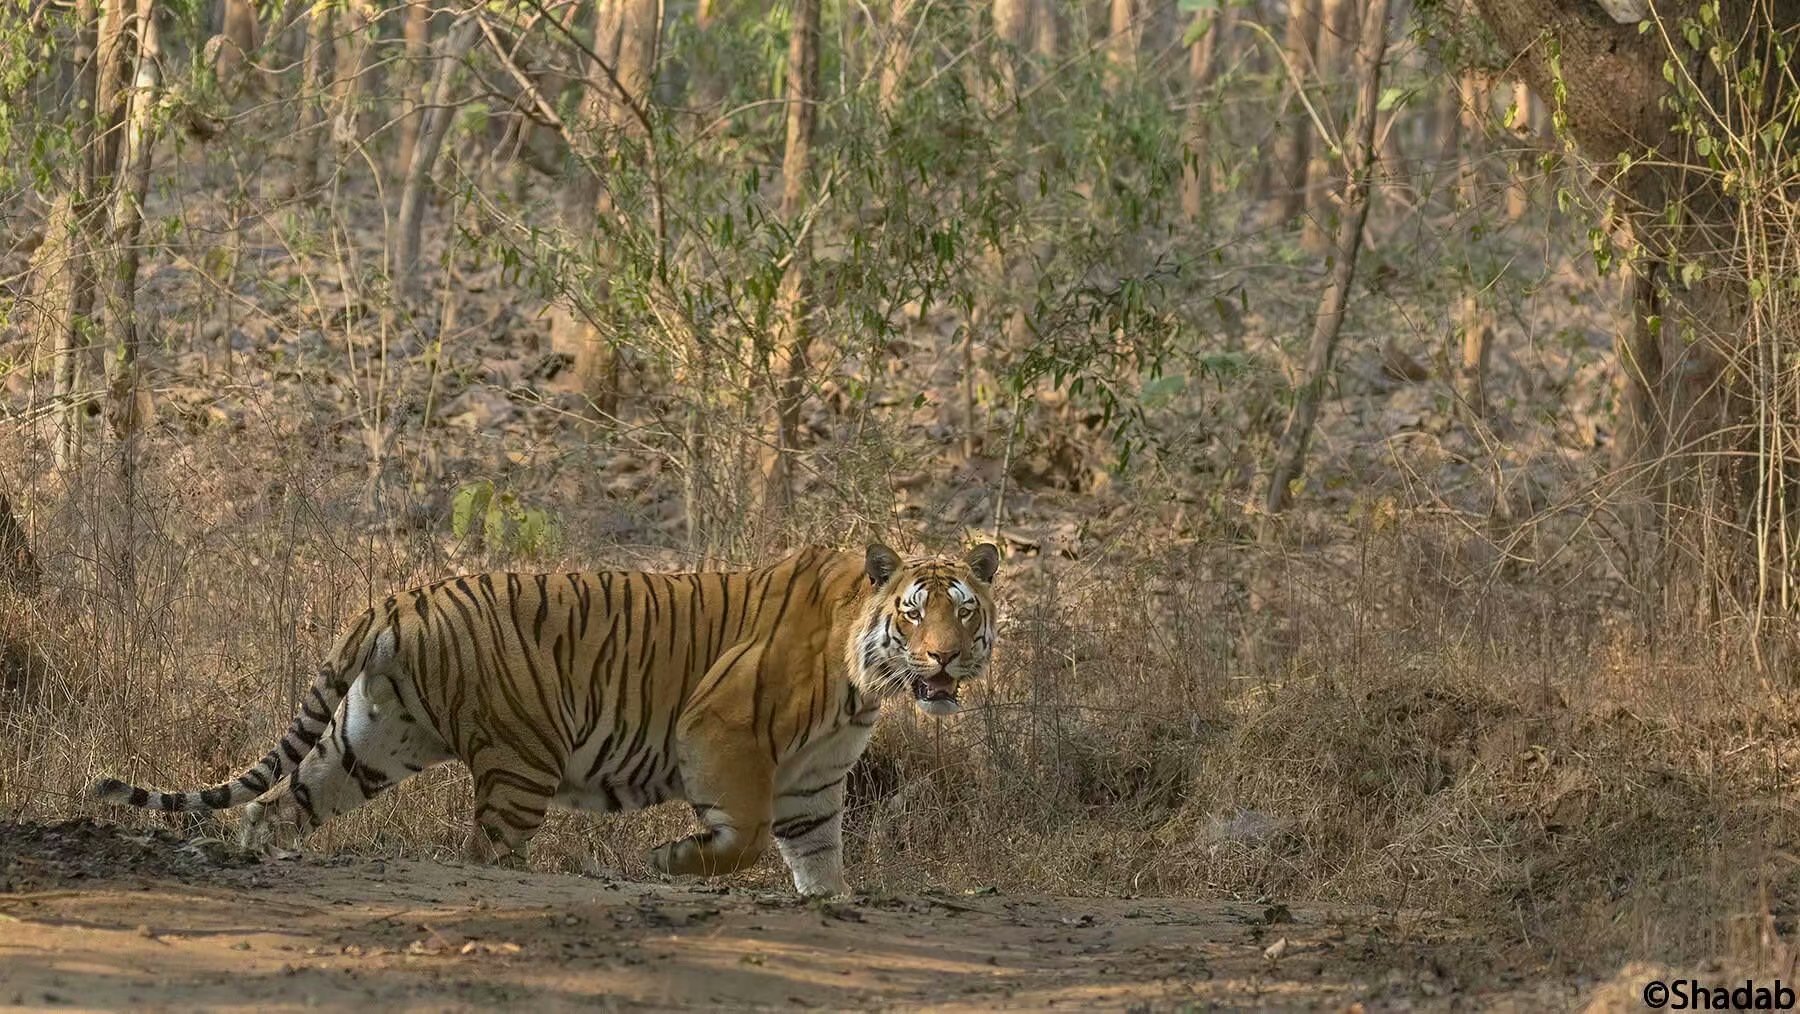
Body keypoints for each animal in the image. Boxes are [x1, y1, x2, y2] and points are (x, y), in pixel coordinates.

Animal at [91, 543, 1000, 900]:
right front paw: (669, 861)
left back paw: (252, 859)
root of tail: (400, 597)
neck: (865, 683)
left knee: (274, 806)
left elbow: (819, 861)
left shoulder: (814, 785)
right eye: (914, 613)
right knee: (486, 852)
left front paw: (828, 905)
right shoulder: (720, 730)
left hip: (366, 745)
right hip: (521, 758)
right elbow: (740, 839)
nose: (945, 659)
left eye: (965, 611)